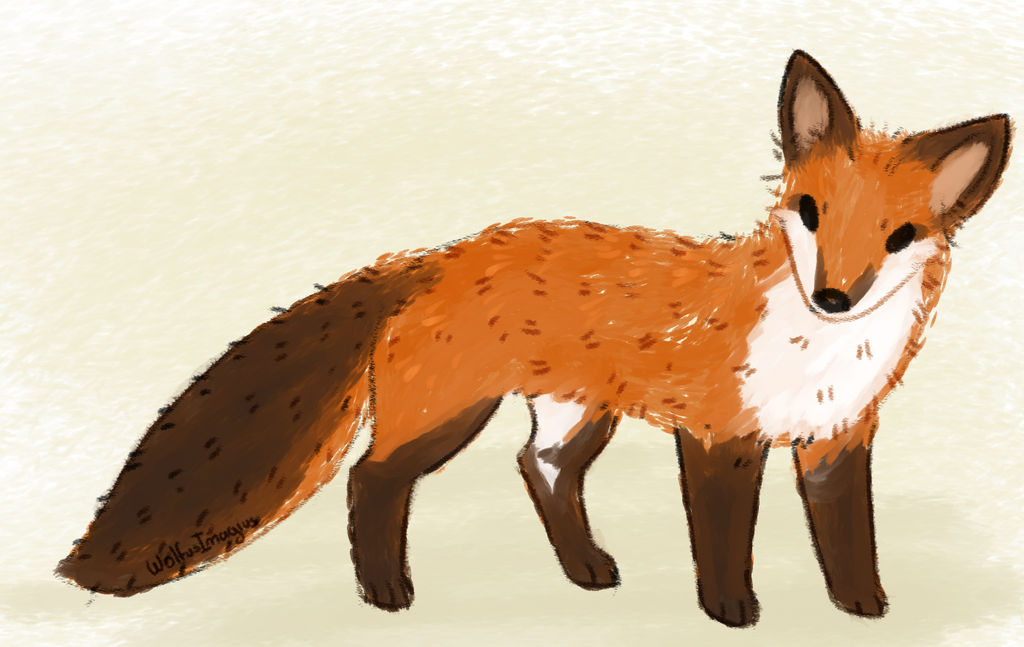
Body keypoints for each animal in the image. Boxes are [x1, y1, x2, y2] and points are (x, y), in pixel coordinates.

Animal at [56, 50, 1011, 627]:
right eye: (810, 212)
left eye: (898, 235)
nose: (835, 294)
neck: (818, 360)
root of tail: (438, 254)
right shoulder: (719, 436)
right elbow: (724, 541)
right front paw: (730, 611)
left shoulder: (836, 440)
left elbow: (849, 539)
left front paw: (864, 608)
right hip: (446, 415)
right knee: (372, 478)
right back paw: (385, 591)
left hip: (575, 416)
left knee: (539, 468)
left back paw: (584, 569)